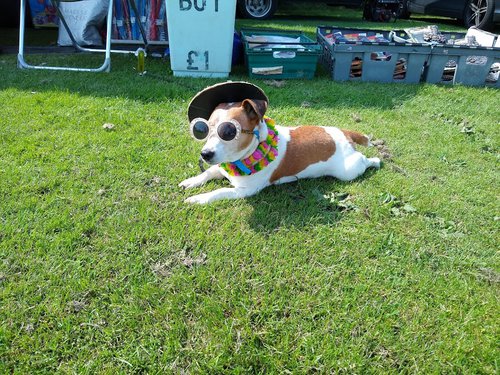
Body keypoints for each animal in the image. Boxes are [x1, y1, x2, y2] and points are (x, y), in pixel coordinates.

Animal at [180, 82, 378, 206]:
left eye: (228, 132)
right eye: (203, 129)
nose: (205, 154)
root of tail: (345, 133)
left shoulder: (245, 191)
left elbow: (220, 191)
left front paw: (199, 199)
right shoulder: (221, 166)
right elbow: (208, 172)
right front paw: (192, 181)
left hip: (349, 170)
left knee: (364, 160)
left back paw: (376, 161)